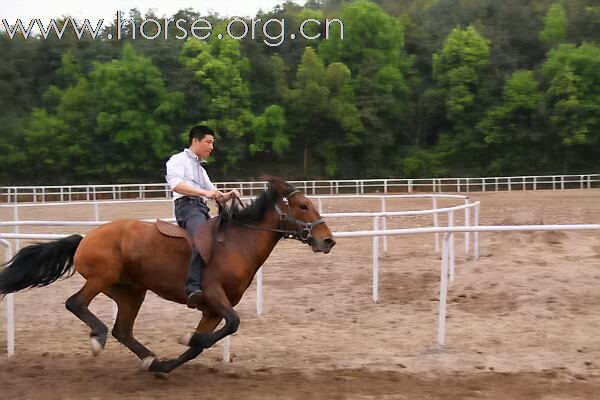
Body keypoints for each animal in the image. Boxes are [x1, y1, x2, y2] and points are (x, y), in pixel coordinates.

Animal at [0, 178, 336, 376]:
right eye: (303, 205)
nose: (328, 240)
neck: (237, 243)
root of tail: (86, 238)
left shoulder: (213, 310)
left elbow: (203, 343)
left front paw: (168, 363)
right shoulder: (213, 295)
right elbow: (231, 324)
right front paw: (185, 338)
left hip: (131, 292)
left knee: (123, 330)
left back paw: (150, 359)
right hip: (102, 278)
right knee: (76, 304)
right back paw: (98, 337)